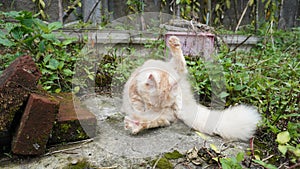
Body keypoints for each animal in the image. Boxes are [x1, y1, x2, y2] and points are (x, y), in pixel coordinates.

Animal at [120, 36, 260, 141]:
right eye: (151, 104)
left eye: (164, 106)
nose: (156, 111)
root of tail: (182, 107)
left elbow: (181, 61)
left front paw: (174, 43)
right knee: (160, 121)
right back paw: (134, 124)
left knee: (159, 122)